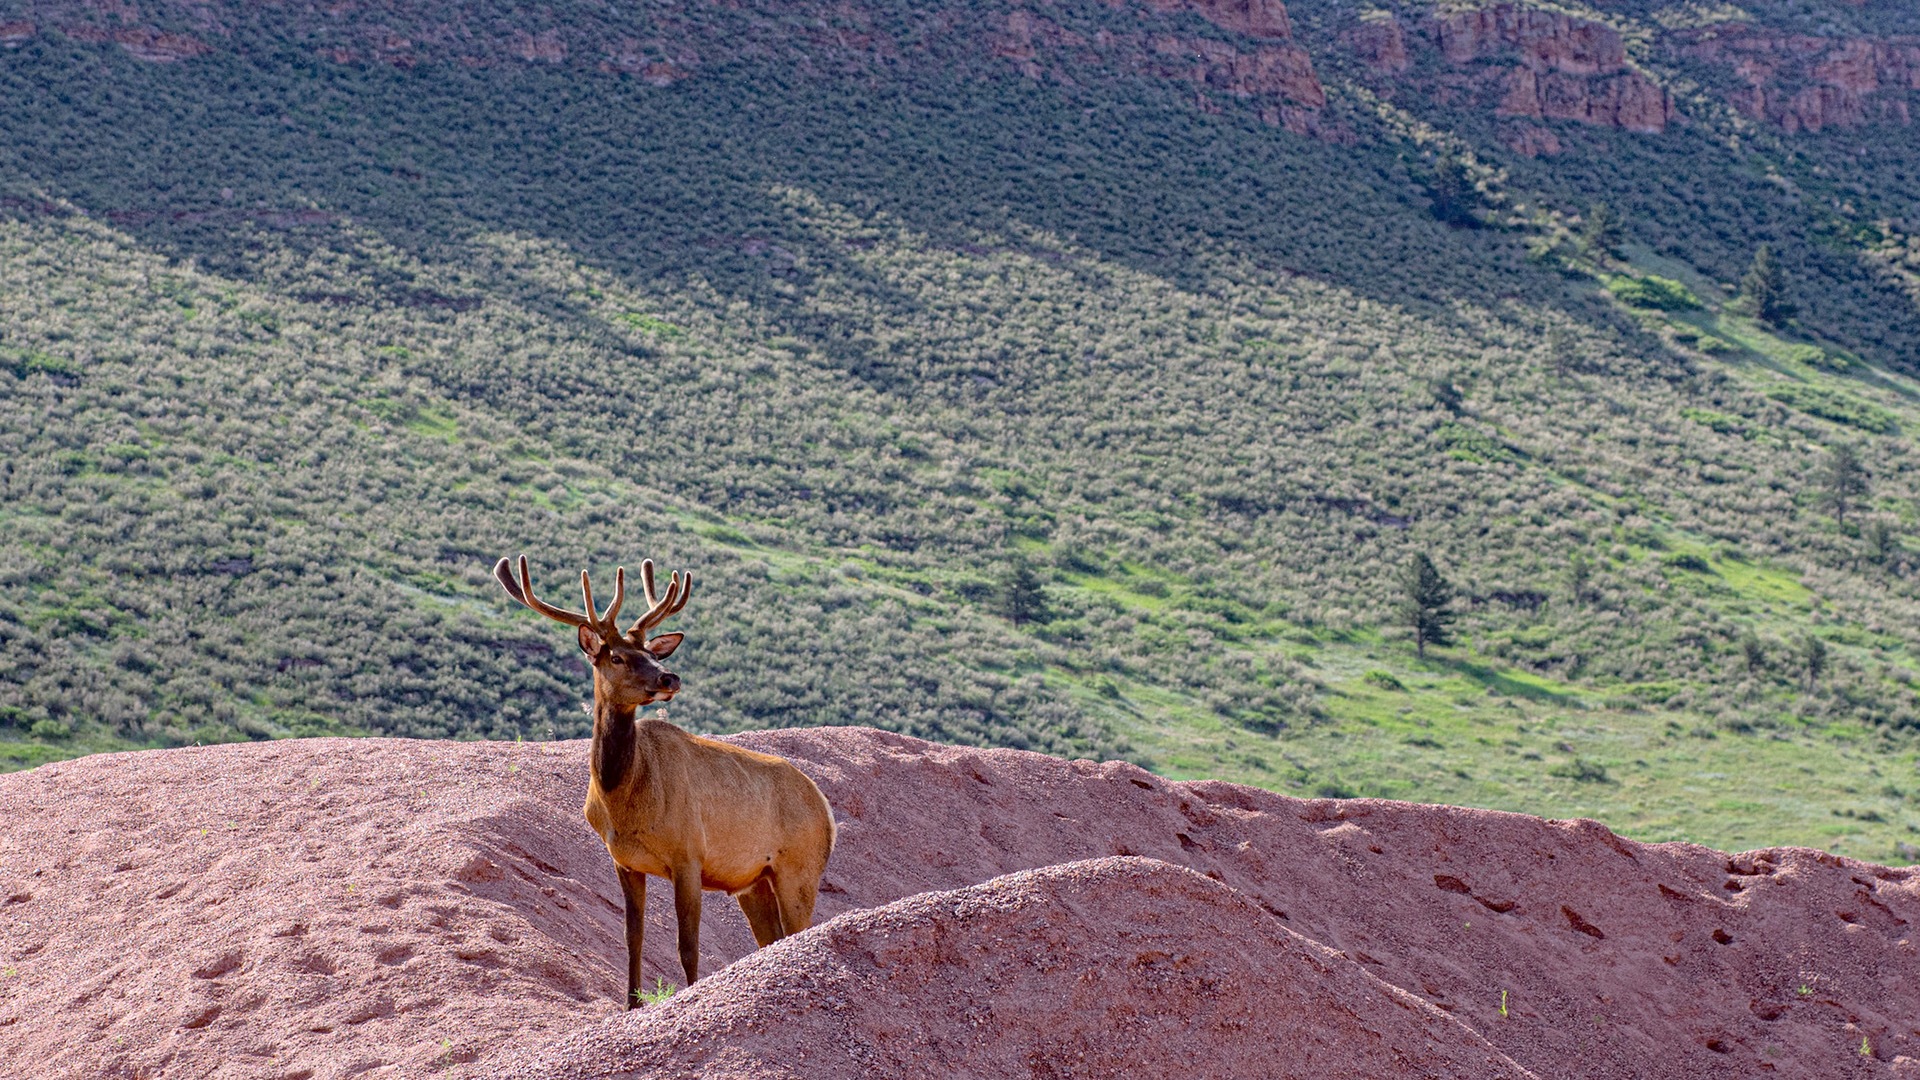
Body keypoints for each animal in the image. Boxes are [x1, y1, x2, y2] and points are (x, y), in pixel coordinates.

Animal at [492, 554, 836, 1008]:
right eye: (617, 657)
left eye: (649, 653)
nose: (669, 677)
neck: (625, 800)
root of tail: (828, 811)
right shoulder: (624, 861)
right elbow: (632, 938)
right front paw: (631, 1004)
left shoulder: (689, 853)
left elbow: (686, 944)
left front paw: (689, 995)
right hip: (754, 881)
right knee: (771, 940)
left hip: (800, 868)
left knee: (799, 931)